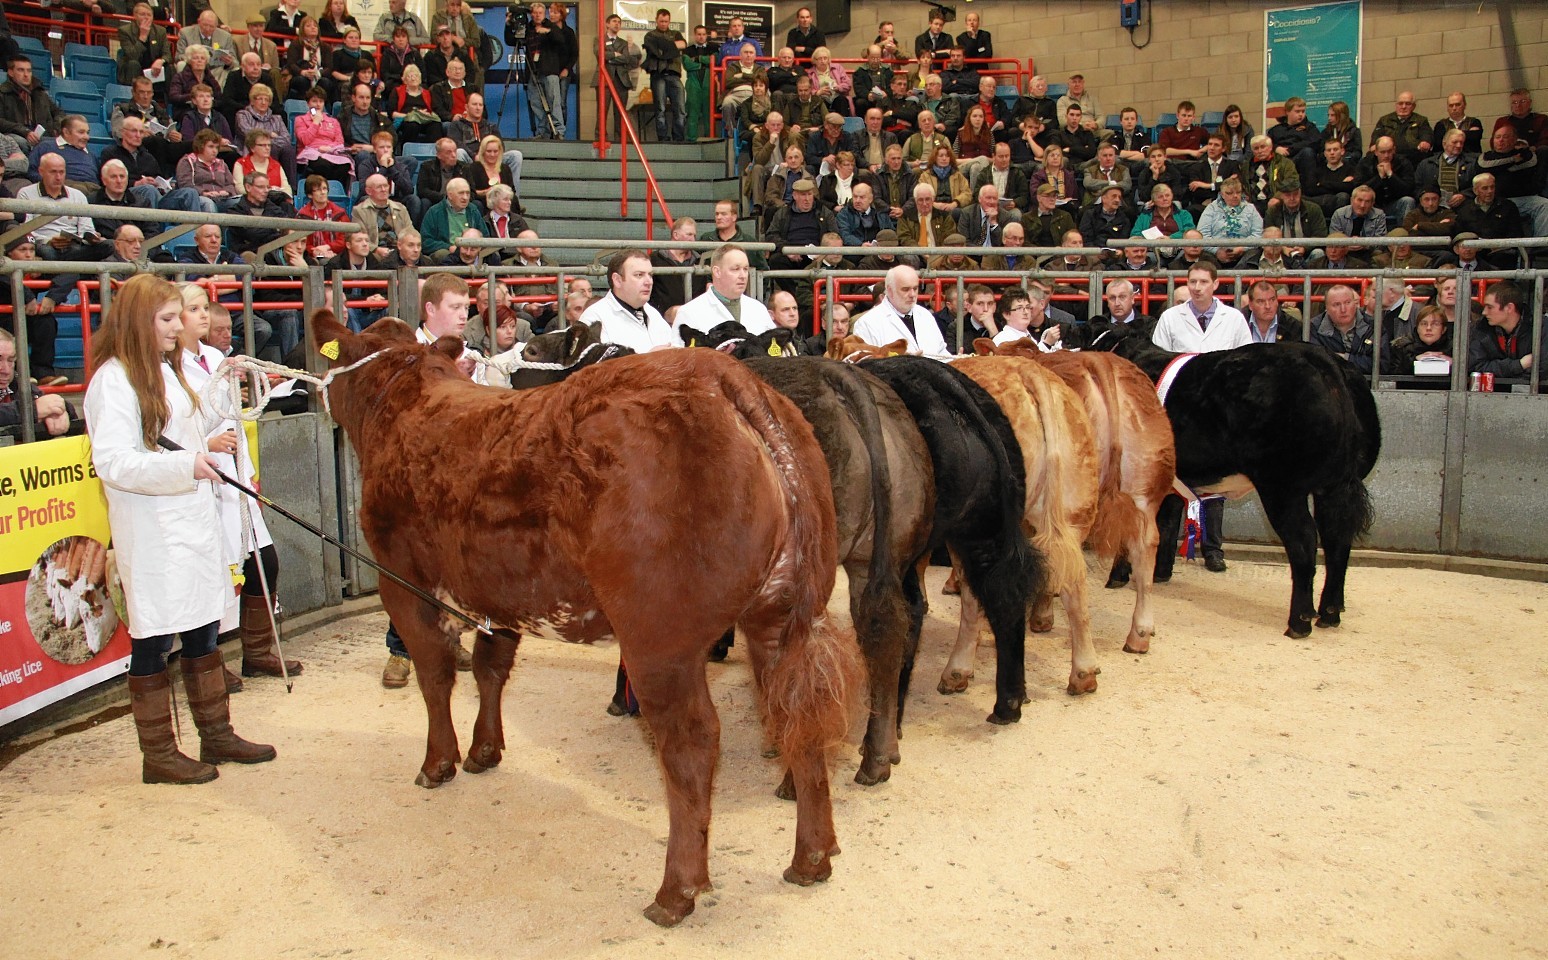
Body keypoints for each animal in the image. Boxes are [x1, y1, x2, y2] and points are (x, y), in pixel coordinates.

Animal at [308, 311, 866, 929]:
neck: (406, 401)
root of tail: (723, 378)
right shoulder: (500, 593)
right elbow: (491, 668)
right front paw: (484, 751)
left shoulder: (401, 581)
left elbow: (436, 675)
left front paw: (438, 762)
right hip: (781, 616)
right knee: (801, 714)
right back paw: (812, 858)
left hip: (660, 640)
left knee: (693, 741)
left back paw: (675, 892)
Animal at [1071, 320, 1387, 637]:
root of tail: (1323, 360)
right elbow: (1167, 524)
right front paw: (1159, 573)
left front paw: (1118, 576)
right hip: (1334, 487)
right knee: (1337, 539)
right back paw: (1330, 612)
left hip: (1281, 488)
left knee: (1305, 541)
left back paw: (1299, 622)